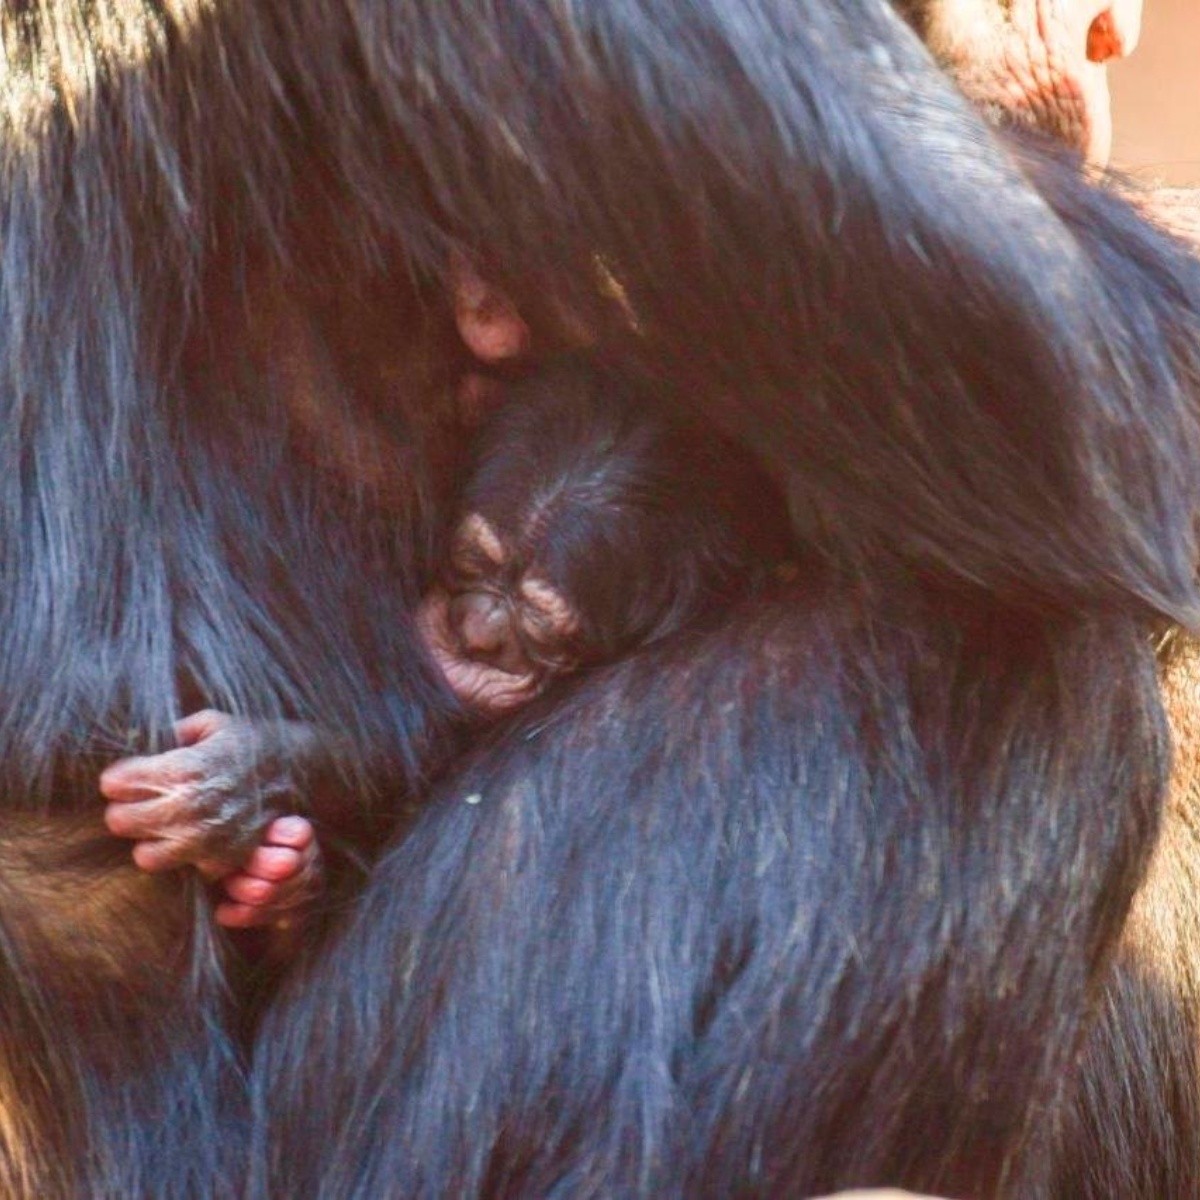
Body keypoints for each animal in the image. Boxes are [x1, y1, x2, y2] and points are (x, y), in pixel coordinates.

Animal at [2, 2, 1200, 1200]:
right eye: (473, 574)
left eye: (523, 622)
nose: (1103, 34)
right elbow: (1094, 360)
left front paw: (268, 785)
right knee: (1025, 668)